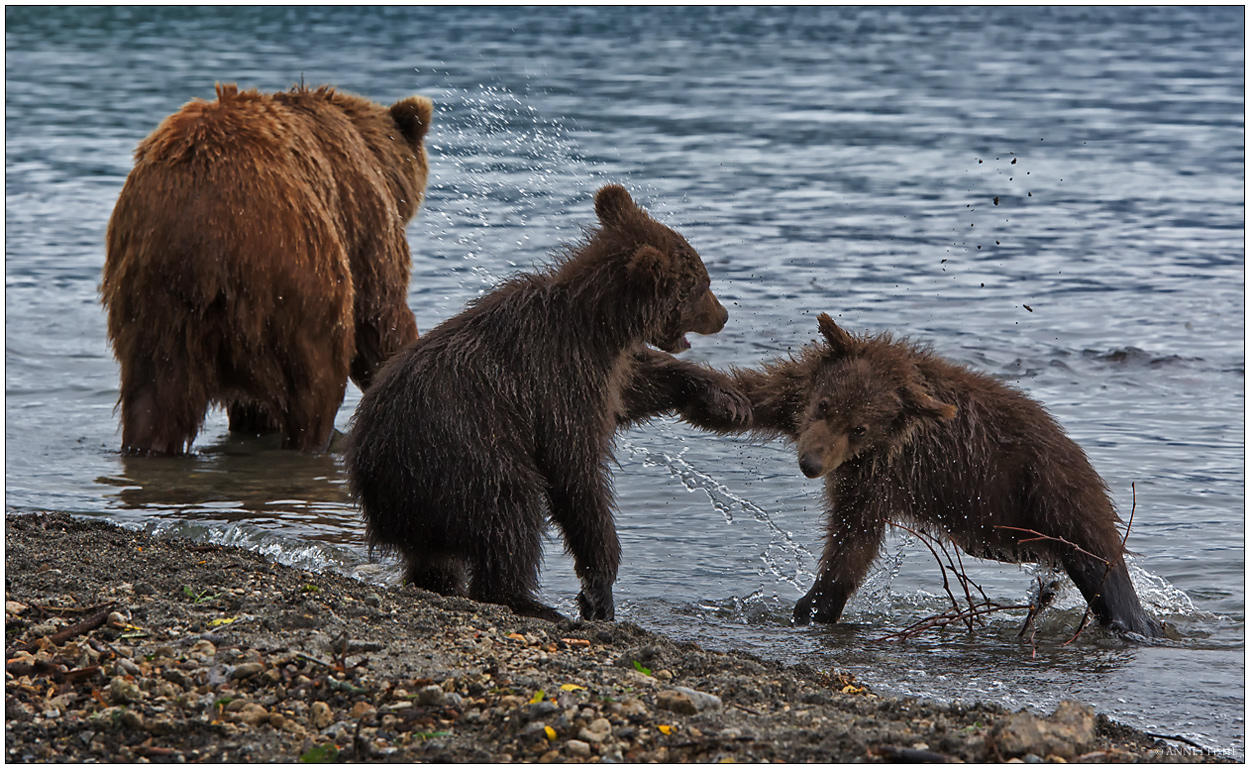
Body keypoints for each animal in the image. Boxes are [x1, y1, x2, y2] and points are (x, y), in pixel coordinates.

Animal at [97, 84, 432, 455]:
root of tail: (202, 247)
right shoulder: (361, 211)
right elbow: (380, 313)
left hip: (154, 306)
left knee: (152, 400)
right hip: (295, 279)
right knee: (317, 382)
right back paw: (317, 440)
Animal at [345, 186, 750, 625]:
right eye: (701, 286)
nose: (723, 315)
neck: (599, 325)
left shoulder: (602, 370)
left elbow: (636, 388)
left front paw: (724, 399)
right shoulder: (557, 378)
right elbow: (576, 471)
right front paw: (598, 588)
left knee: (439, 559)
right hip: (461, 455)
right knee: (510, 513)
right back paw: (527, 601)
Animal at [690, 312, 1155, 637]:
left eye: (860, 428)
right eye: (824, 405)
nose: (811, 463)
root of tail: (1078, 453)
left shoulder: (883, 470)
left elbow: (854, 537)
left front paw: (815, 602)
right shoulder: (797, 396)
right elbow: (749, 397)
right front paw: (700, 391)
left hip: (1053, 493)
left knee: (1102, 568)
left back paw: (1135, 622)